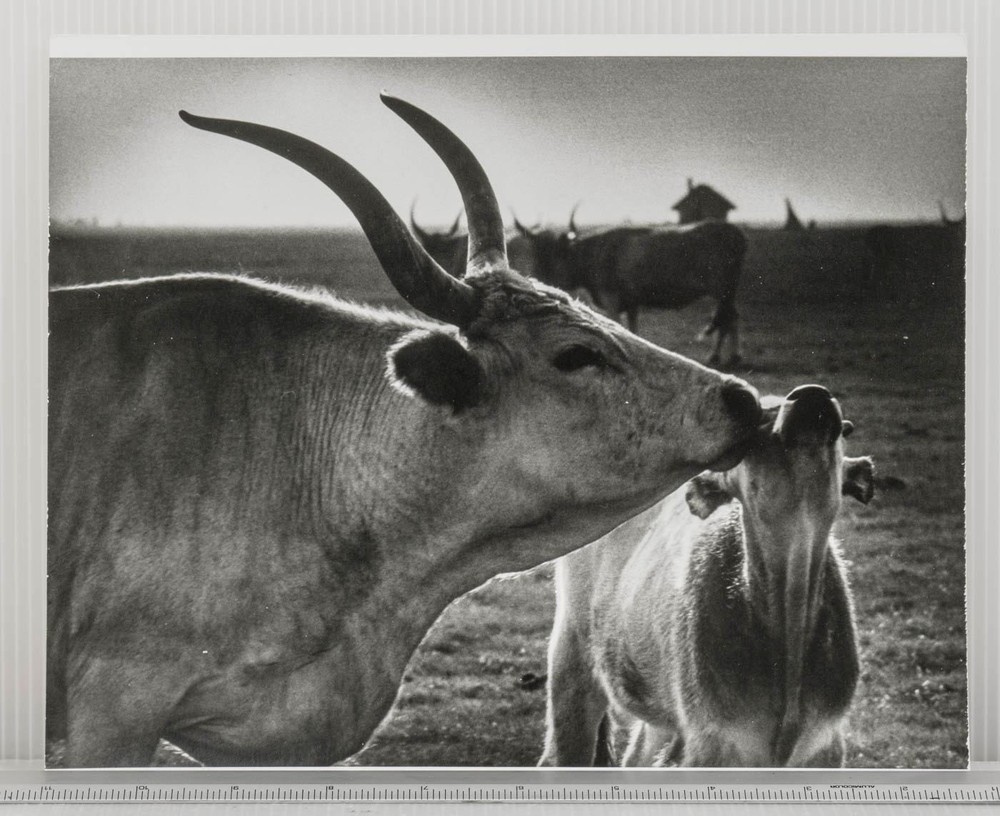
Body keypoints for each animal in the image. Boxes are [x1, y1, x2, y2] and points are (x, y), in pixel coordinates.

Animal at [515, 219, 748, 367]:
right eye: (535, 252)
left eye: (554, 253)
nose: (538, 275)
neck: (593, 253)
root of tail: (734, 231)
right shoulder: (632, 301)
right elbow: (632, 330)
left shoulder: (611, 299)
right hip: (728, 291)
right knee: (732, 317)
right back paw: (732, 356)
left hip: (721, 289)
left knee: (727, 319)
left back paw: (718, 356)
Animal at [540, 385, 874, 767]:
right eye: (755, 428)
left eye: (844, 432)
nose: (811, 394)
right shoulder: (711, 743)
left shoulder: (825, 744)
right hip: (572, 655)